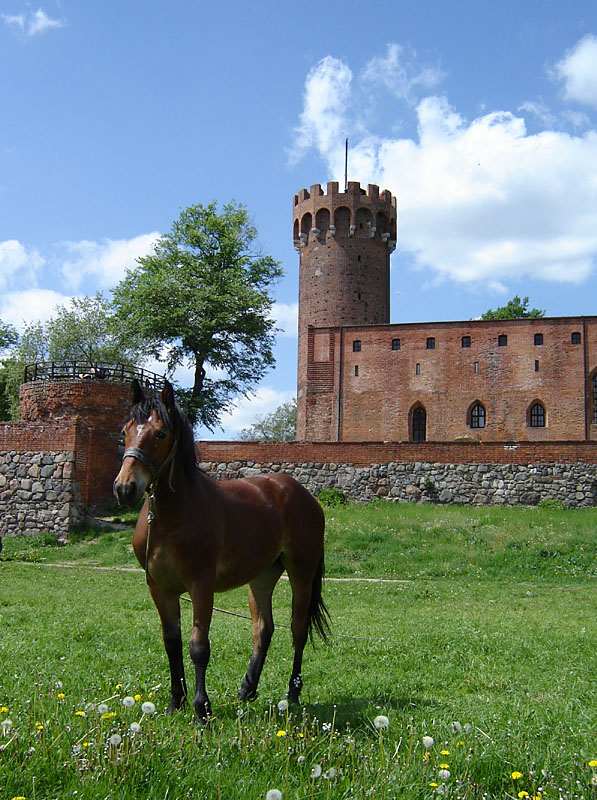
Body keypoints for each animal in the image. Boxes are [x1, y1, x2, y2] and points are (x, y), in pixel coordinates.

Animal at [114, 378, 328, 720]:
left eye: (160, 434)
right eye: (126, 431)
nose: (125, 488)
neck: (173, 518)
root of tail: (303, 494)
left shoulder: (201, 585)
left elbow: (198, 646)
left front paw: (202, 708)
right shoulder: (159, 587)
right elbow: (172, 642)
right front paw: (176, 701)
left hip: (301, 574)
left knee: (298, 629)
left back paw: (293, 692)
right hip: (262, 577)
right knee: (263, 629)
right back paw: (248, 688)